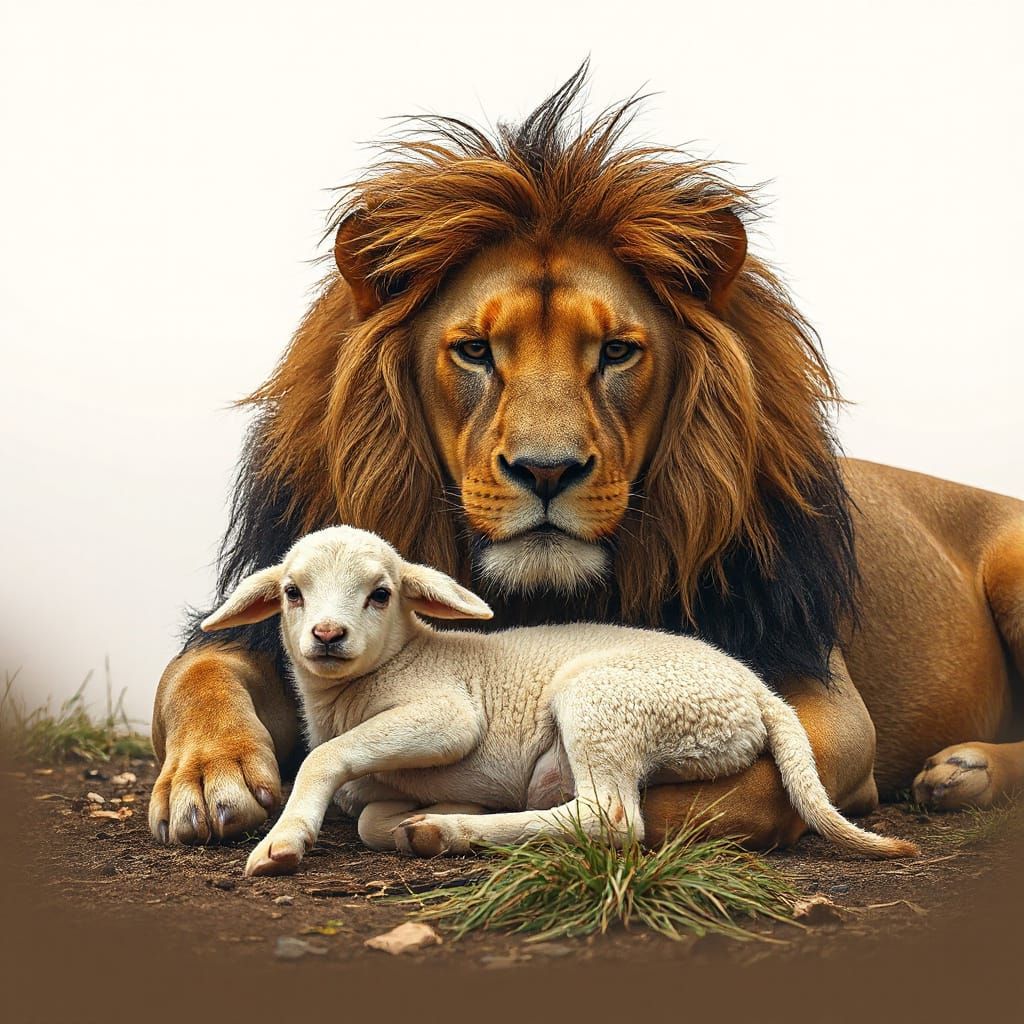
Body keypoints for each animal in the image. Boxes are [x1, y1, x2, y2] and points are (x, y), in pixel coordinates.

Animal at [200, 526, 918, 877]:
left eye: (381, 593)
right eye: (292, 592)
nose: (327, 635)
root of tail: (760, 693)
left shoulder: (447, 712)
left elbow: (325, 760)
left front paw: (283, 842)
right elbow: (373, 818)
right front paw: (432, 812)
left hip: (607, 703)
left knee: (611, 820)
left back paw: (451, 832)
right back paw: (441, 827)